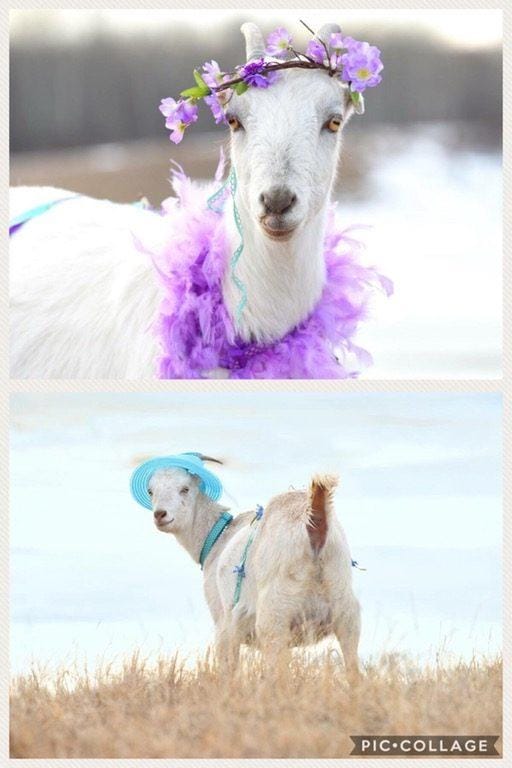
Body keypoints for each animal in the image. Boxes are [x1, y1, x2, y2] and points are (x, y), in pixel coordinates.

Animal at [146, 465, 361, 682]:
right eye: (151, 491)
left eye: (185, 489)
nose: (160, 515)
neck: (218, 536)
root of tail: (314, 526)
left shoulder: (224, 625)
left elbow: (229, 669)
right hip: (345, 611)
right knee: (353, 669)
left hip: (275, 613)